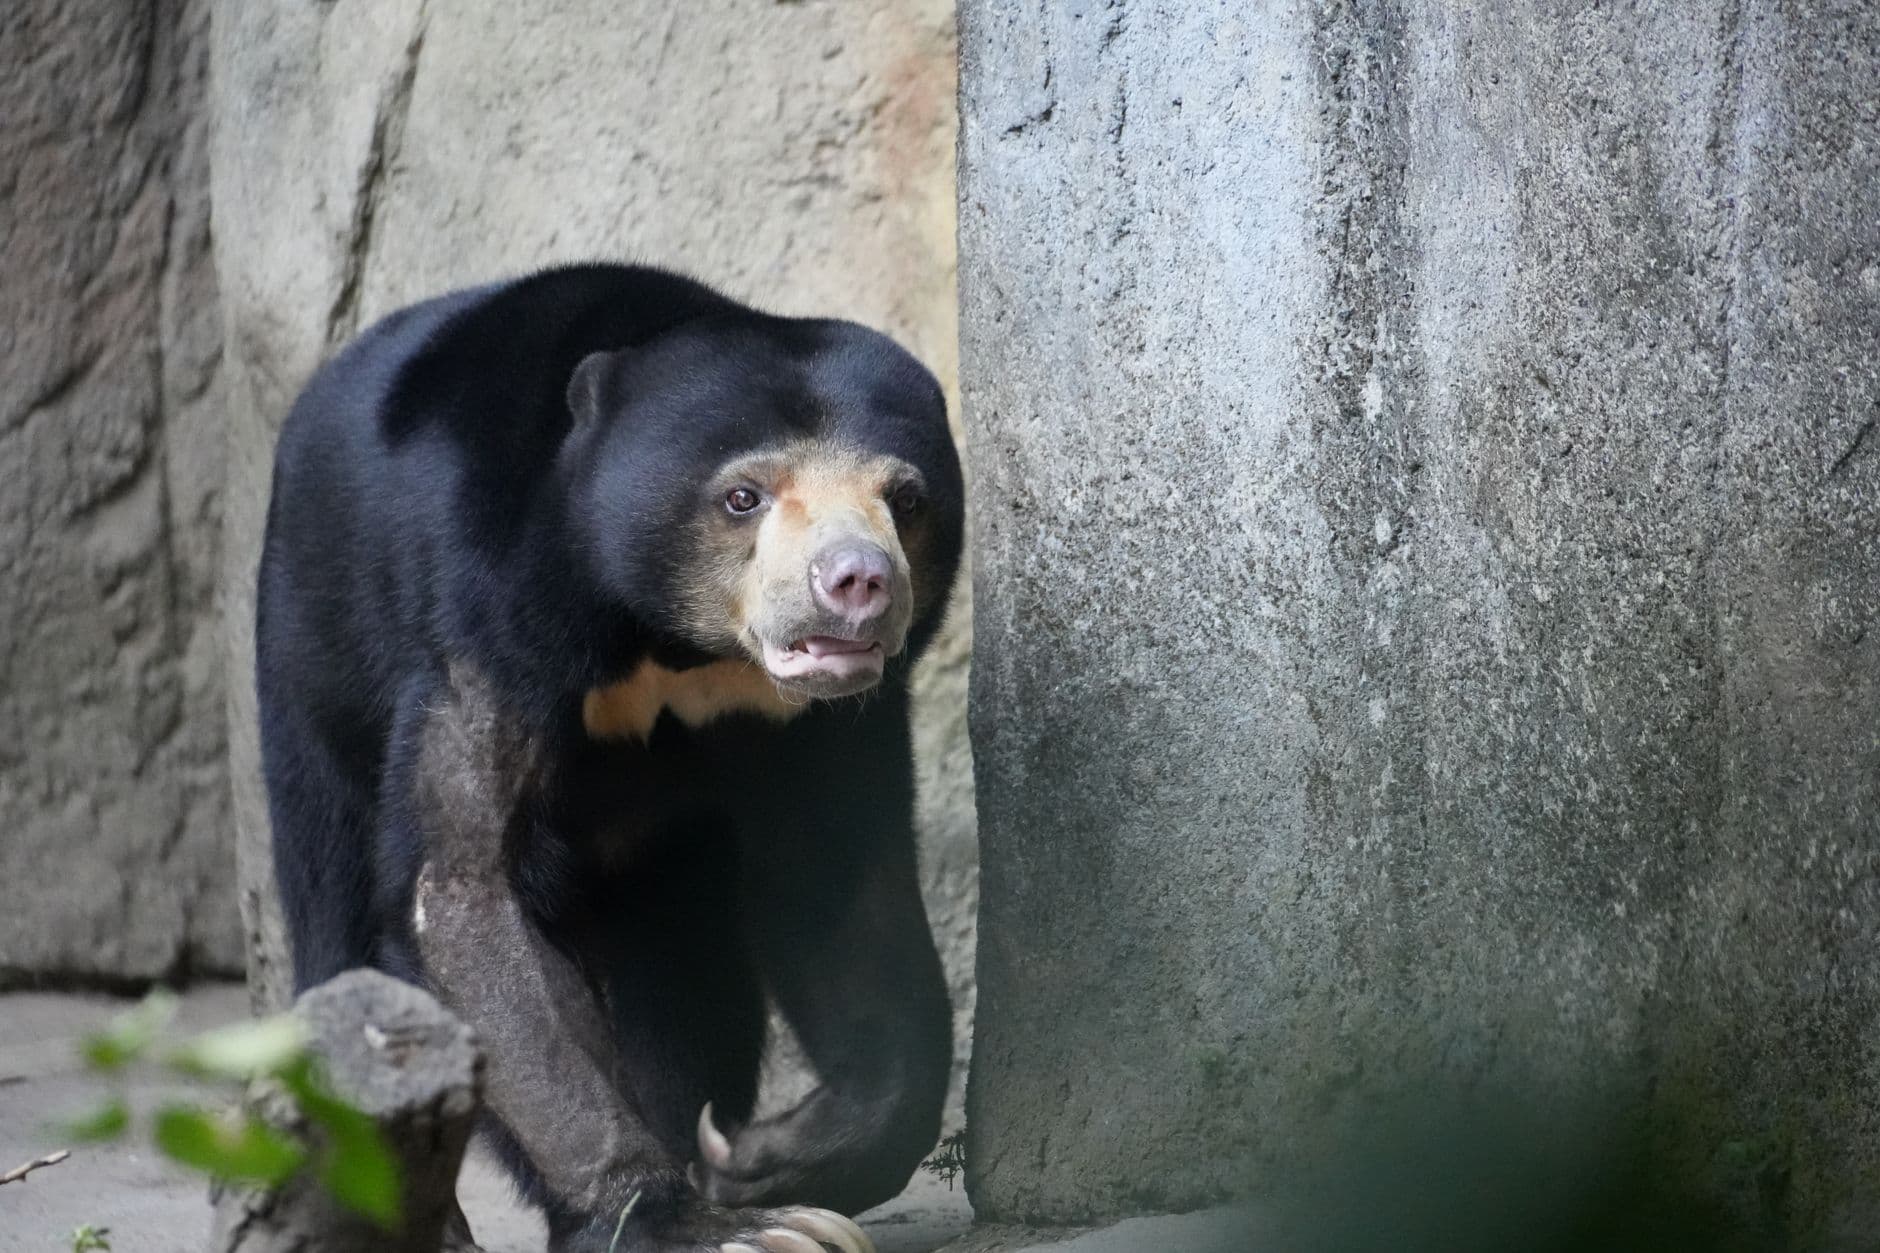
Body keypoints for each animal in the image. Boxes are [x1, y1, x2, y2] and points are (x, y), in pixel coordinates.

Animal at [254, 263, 964, 1253]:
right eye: (743, 496)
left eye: (905, 499)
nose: (858, 582)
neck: (676, 646)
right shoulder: (488, 620)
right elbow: (463, 895)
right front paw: (716, 1224)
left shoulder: (816, 720)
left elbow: (841, 882)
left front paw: (766, 1161)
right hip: (312, 663)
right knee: (336, 916)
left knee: (686, 967)